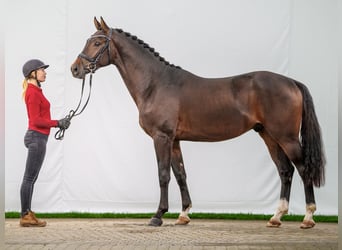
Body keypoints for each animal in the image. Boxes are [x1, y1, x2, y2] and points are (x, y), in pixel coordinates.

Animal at [71, 17, 324, 229]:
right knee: (285, 170)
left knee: (303, 169)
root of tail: (291, 82)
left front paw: (158, 216)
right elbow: (180, 174)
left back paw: (308, 217)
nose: (75, 69)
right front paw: (183, 215)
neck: (156, 84)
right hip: (269, 135)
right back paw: (276, 217)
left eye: (97, 42)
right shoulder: (174, 140)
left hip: (286, 137)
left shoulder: (161, 137)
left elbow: (163, 174)